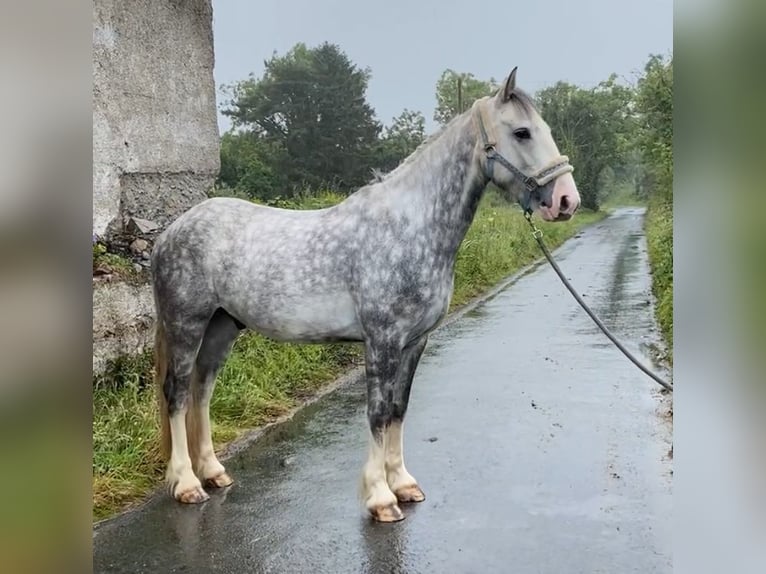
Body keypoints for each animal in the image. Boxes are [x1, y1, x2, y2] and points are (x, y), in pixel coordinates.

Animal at [153, 67, 580, 520]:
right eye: (521, 132)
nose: (566, 200)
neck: (410, 227)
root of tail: (171, 232)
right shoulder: (382, 340)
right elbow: (376, 413)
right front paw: (380, 498)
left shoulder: (414, 342)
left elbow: (397, 410)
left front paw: (403, 484)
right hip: (186, 324)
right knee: (177, 394)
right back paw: (187, 484)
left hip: (222, 326)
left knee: (202, 390)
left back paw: (214, 472)